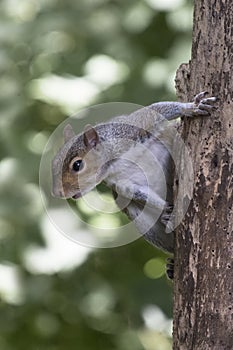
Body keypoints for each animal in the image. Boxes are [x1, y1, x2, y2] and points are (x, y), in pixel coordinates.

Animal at [52, 91, 217, 262]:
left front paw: (192, 107)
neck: (114, 162)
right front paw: (166, 208)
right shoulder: (123, 183)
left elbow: (156, 111)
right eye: (54, 162)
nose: (57, 193)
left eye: (77, 165)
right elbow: (140, 193)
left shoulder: (134, 129)